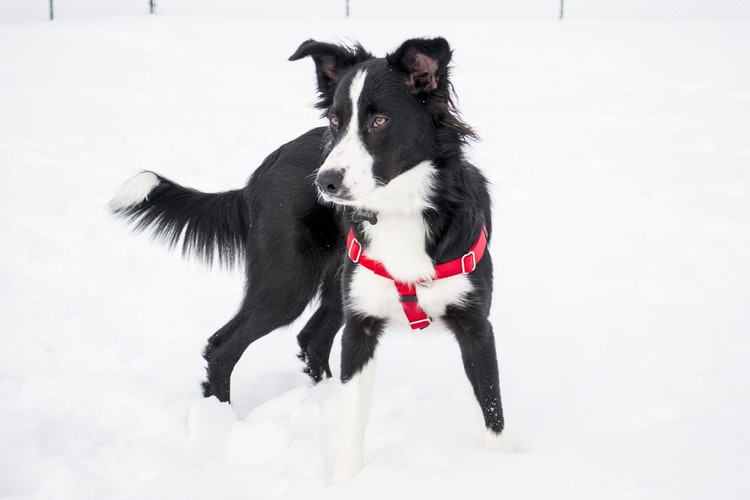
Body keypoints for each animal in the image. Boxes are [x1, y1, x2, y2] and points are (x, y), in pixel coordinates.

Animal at [111, 36, 508, 480]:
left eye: (379, 121)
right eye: (335, 121)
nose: (325, 182)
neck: (401, 210)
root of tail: (260, 173)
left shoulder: (475, 325)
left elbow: (492, 410)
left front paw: (504, 468)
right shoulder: (361, 326)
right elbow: (352, 422)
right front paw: (348, 480)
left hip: (333, 288)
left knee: (311, 338)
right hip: (286, 285)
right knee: (223, 345)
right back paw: (219, 426)